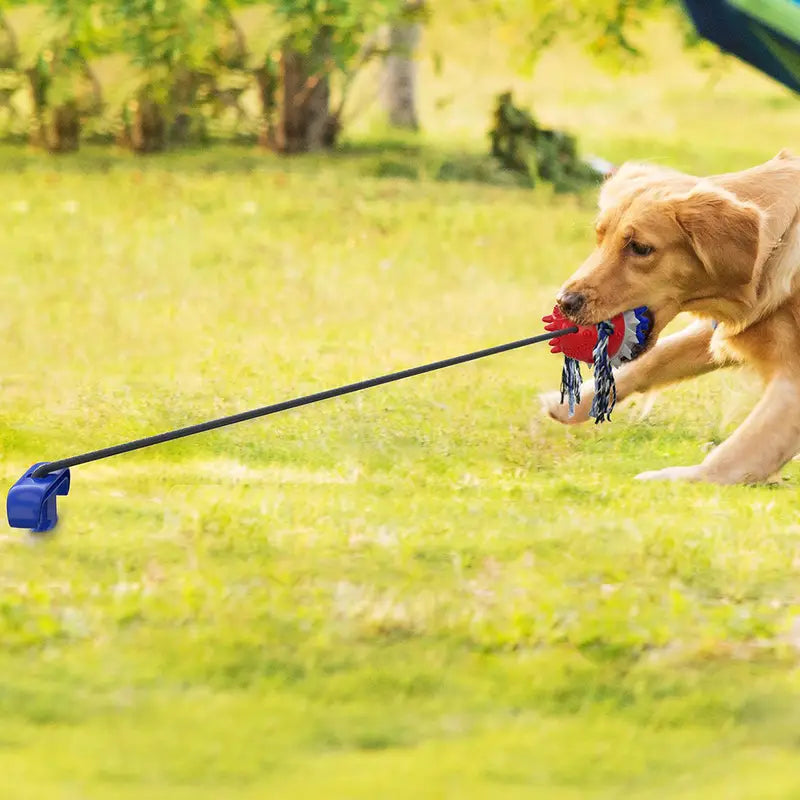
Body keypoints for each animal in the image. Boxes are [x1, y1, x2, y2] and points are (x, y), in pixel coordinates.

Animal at [540, 151, 800, 484]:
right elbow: (657, 357)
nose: (565, 302)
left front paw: (672, 478)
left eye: (640, 248)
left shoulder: (790, 382)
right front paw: (575, 402)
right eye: (600, 238)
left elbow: (739, 452)